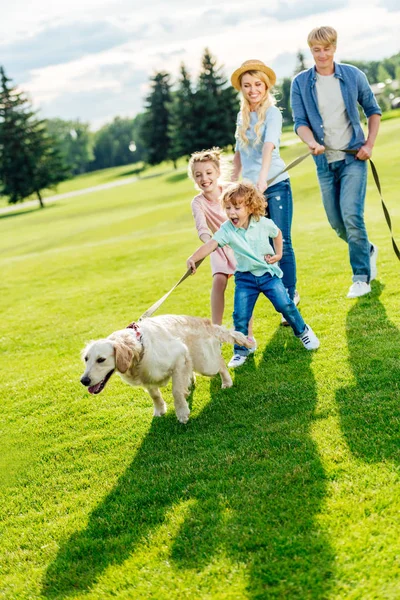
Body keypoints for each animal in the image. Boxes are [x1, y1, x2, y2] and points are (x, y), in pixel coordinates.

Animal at [79, 314, 252, 422]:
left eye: (101, 359)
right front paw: (159, 410)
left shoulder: (179, 355)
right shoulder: (147, 378)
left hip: (204, 363)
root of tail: (205, 322)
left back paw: (226, 382)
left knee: (220, 364)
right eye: (86, 359)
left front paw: (182, 412)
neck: (139, 347)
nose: (84, 380)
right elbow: (155, 395)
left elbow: (176, 391)